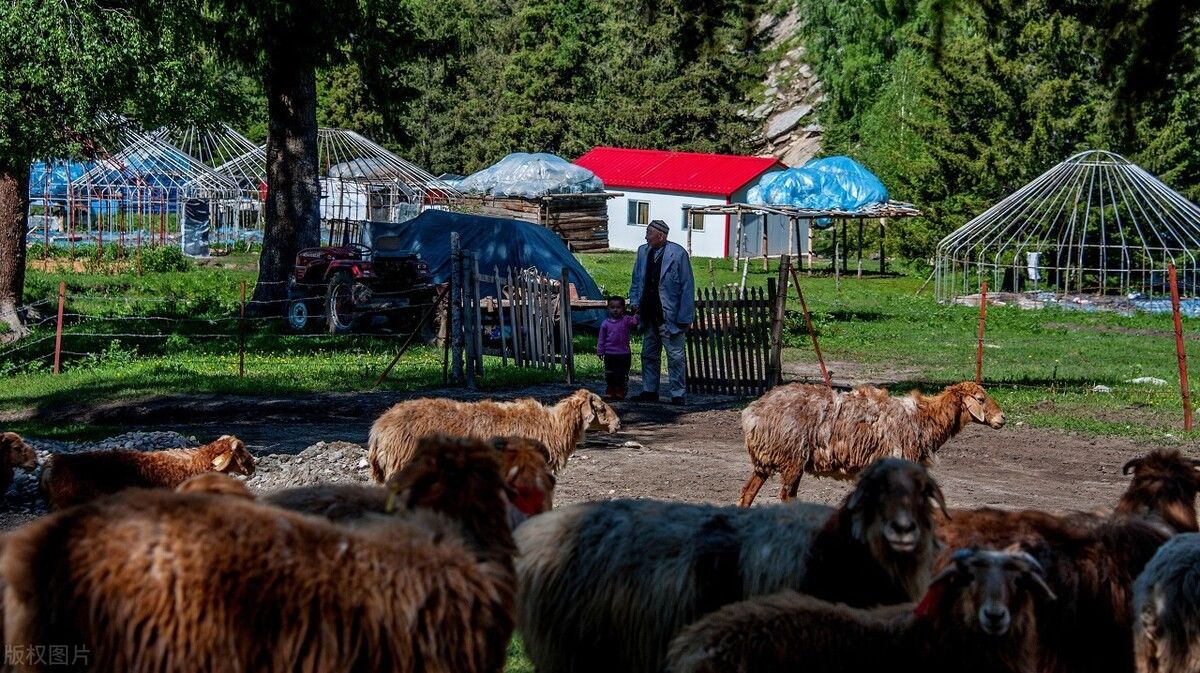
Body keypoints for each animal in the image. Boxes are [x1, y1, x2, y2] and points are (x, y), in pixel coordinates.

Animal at [739, 383, 1003, 503]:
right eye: (980, 399)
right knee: (786, 496)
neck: (924, 418)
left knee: (747, 492)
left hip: (766, 459)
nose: (1002, 418)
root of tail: (753, 412)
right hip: (792, 459)